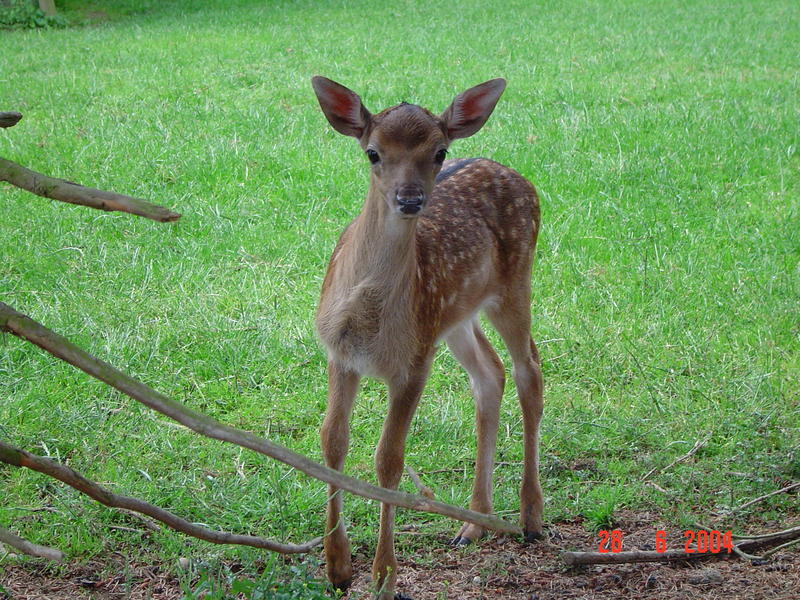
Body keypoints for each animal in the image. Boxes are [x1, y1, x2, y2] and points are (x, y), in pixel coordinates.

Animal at [312, 77, 544, 596]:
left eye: (439, 151)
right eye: (373, 153)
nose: (410, 199)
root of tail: (516, 174)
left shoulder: (414, 363)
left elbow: (389, 461)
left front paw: (383, 575)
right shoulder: (339, 353)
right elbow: (333, 440)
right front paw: (337, 568)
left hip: (514, 284)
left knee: (530, 371)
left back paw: (530, 518)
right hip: (454, 317)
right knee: (490, 373)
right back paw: (473, 523)